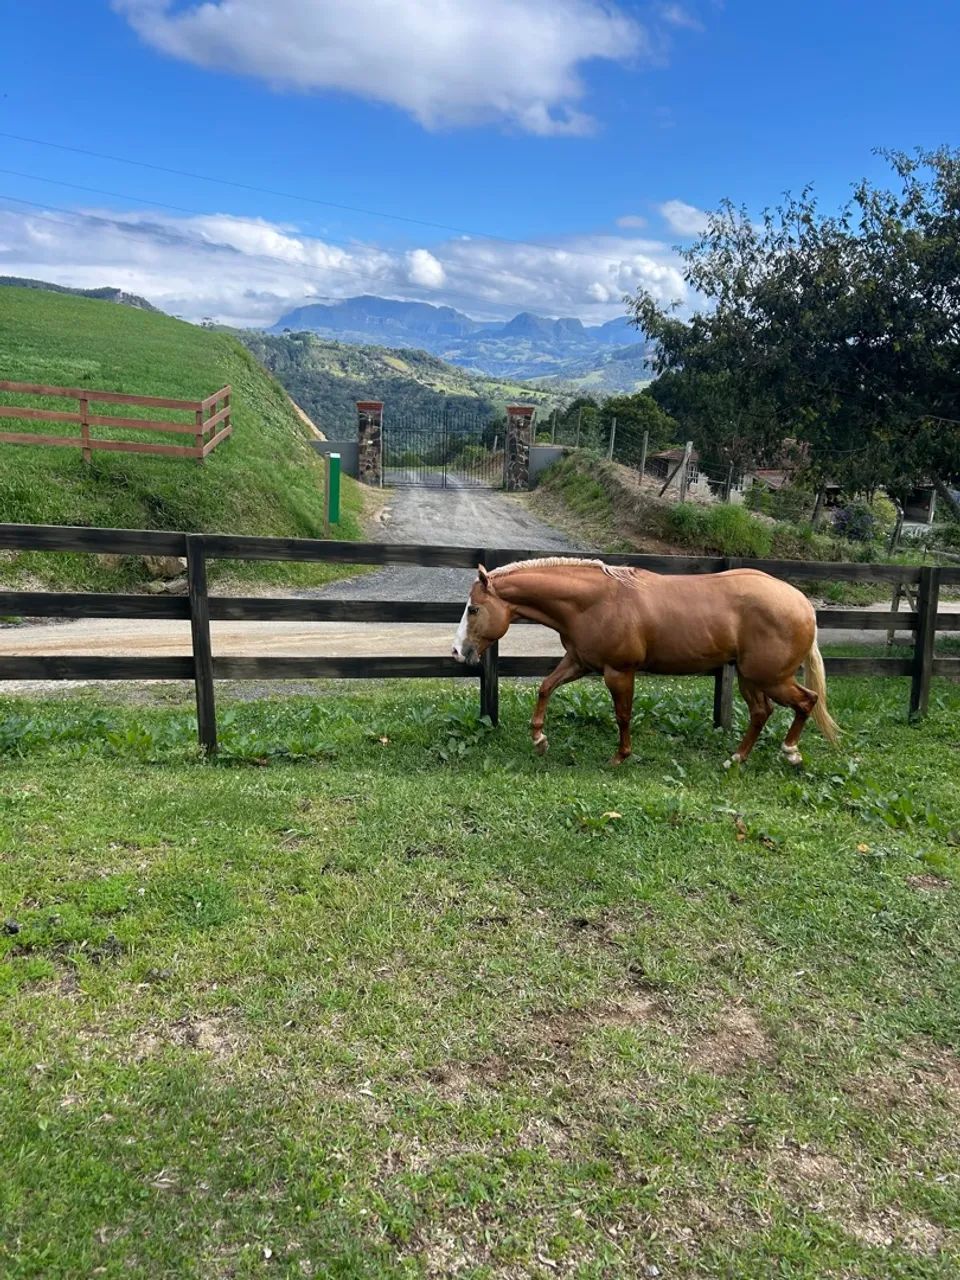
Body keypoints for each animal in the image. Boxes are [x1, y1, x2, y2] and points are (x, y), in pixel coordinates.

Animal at [451, 557, 839, 767]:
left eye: (474, 609)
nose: (457, 651)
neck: (596, 601)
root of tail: (803, 604)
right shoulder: (579, 662)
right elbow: (546, 687)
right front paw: (539, 739)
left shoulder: (618, 672)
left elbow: (623, 714)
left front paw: (620, 756)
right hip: (749, 677)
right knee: (762, 713)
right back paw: (737, 758)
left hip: (771, 677)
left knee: (807, 701)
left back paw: (790, 752)